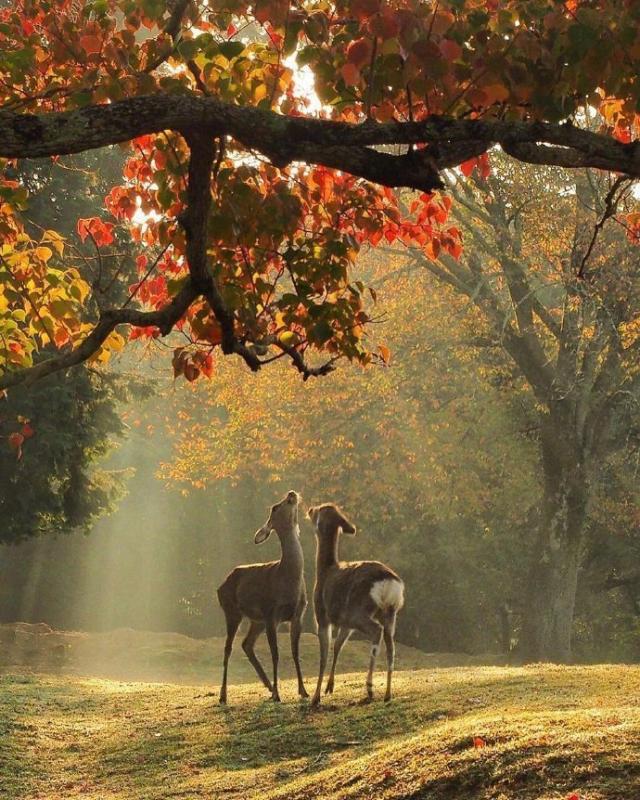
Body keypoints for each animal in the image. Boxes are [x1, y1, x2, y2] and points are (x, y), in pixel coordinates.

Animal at [216, 490, 308, 704]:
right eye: (275, 507)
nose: (291, 493)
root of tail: (219, 587)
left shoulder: (298, 613)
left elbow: (295, 652)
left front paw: (303, 691)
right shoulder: (271, 612)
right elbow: (275, 653)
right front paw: (278, 695)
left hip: (256, 620)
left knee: (246, 644)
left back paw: (268, 685)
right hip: (232, 611)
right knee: (228, 648)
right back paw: (223, 695)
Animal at [306, 506, 404, 708]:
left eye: (318, 510)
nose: (309, 509)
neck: (324, 571)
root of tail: (389, 582)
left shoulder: (322, 616)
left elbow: (324, 654)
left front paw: (316, 697)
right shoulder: (345, 624)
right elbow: (337, 646)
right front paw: (329, 687)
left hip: (359, 611)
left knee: (376, 631)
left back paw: (370, 688)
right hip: (390, 613)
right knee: (391, 647)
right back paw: (387, 694)